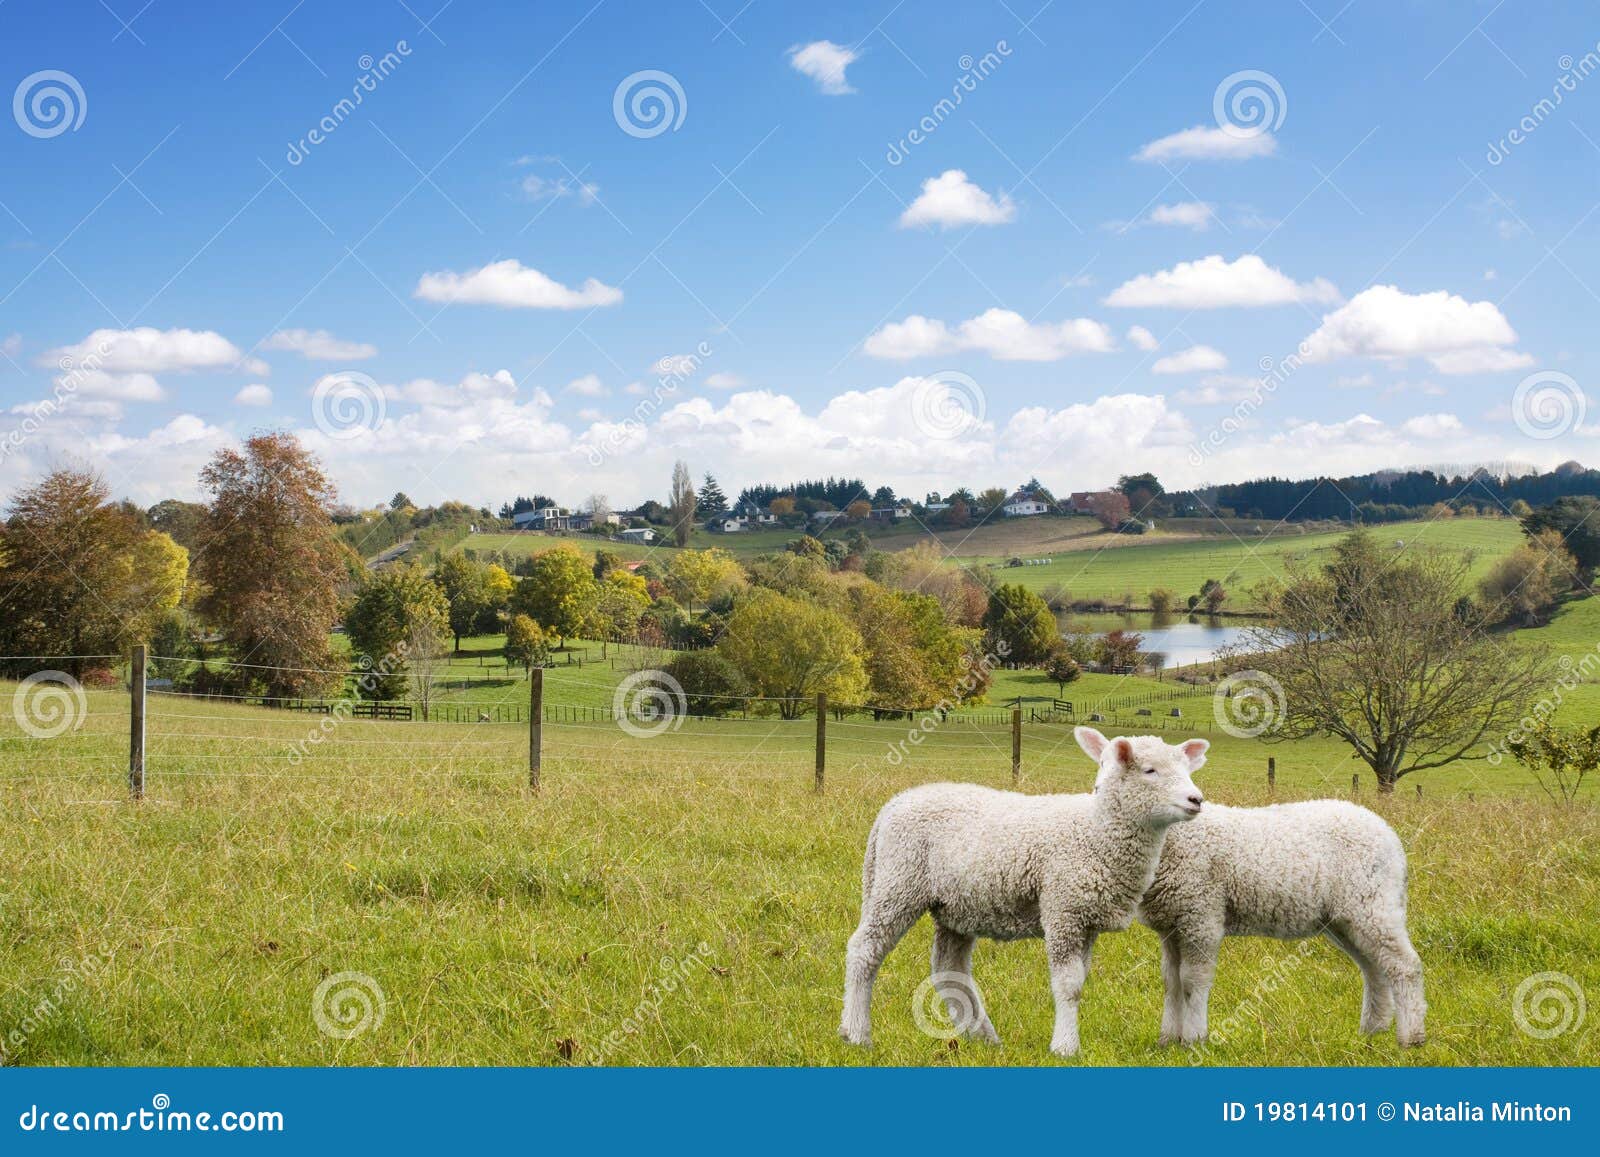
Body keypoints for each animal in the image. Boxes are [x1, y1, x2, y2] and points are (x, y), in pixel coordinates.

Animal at [844, 729, 1203, 1062]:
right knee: (864, 950)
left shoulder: (1085, 919)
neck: (1095, 831)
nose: (1196, 799)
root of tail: (893, 805)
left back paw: (984, 1038)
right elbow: (1068, 985)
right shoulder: (1062, 909)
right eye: (1150, 770)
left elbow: (1080, 980)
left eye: (1187, 768)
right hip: (898, 882)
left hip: (954, 904)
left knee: (949, 967)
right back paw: (856, 1034)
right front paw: (1065, 1047)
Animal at [1139, 796, 1427, 1049]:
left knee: (1404, 966)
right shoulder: (1172, 926)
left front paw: (1194, 1040)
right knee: (1374, 969)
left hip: (1372, 904)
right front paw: (1168, 1040)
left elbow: (1192, 981)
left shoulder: (1201, 917)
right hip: (1347, 919)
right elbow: (1171, 982)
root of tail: (1388, 833)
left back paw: (1411, 1037)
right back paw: (1372, 1030)